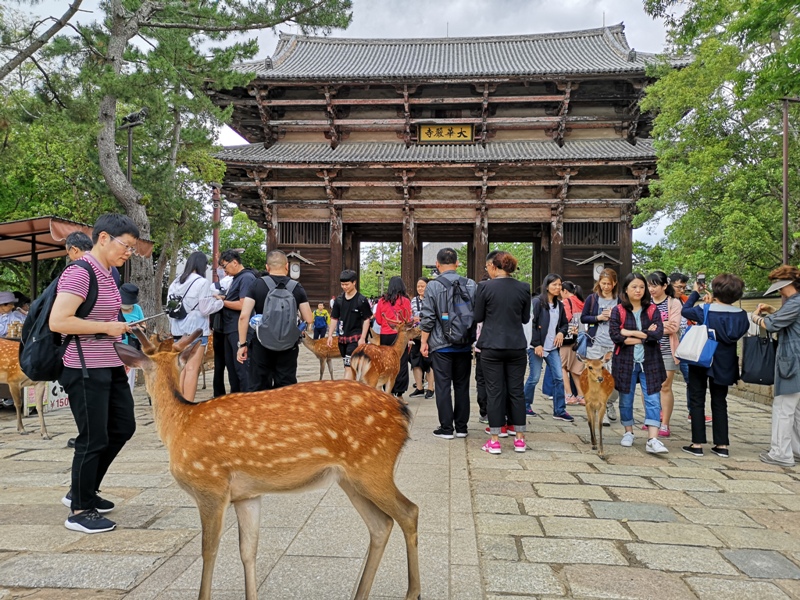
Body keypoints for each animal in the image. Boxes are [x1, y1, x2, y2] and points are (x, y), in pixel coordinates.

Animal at [115, 329, 420, 600]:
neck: (179, 425)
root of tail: (402, 413)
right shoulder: (247, 495)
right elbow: (248, 550)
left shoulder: (210, 486)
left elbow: (209, 550)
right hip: (350, 477)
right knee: (381, 524)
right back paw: (360, 594)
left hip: (372, 466)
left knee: (409, 511)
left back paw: (412, 592)